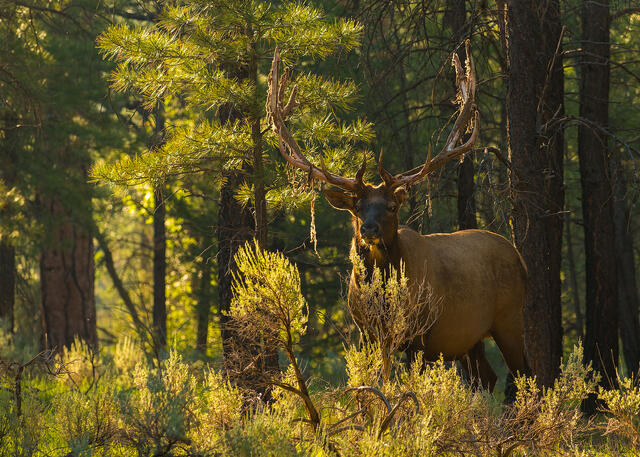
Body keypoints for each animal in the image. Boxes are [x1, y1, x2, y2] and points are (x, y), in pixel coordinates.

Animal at [266, 43, 529, 391]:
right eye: (357, 208)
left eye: (391, 206)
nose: (369, 229)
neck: (384, 298)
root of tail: (518, 256)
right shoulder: (366, 332)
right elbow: (374, 381)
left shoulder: (420, 333)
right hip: (469, 338)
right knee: (486, 377)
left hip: (510, 317)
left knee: (527, 373)